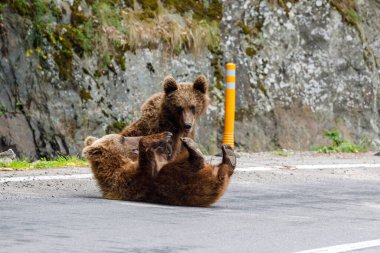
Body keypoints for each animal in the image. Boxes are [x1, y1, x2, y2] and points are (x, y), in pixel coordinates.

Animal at [83, 131, 236, 207]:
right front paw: (162, 136)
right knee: (188, 166)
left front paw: (165, 145)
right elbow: (147, 165)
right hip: (180, 179)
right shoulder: (128, 180)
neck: (119, 162)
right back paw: (193, 146)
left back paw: (229, 154)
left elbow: (159, 157)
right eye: (122, 139)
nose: (137, 136)